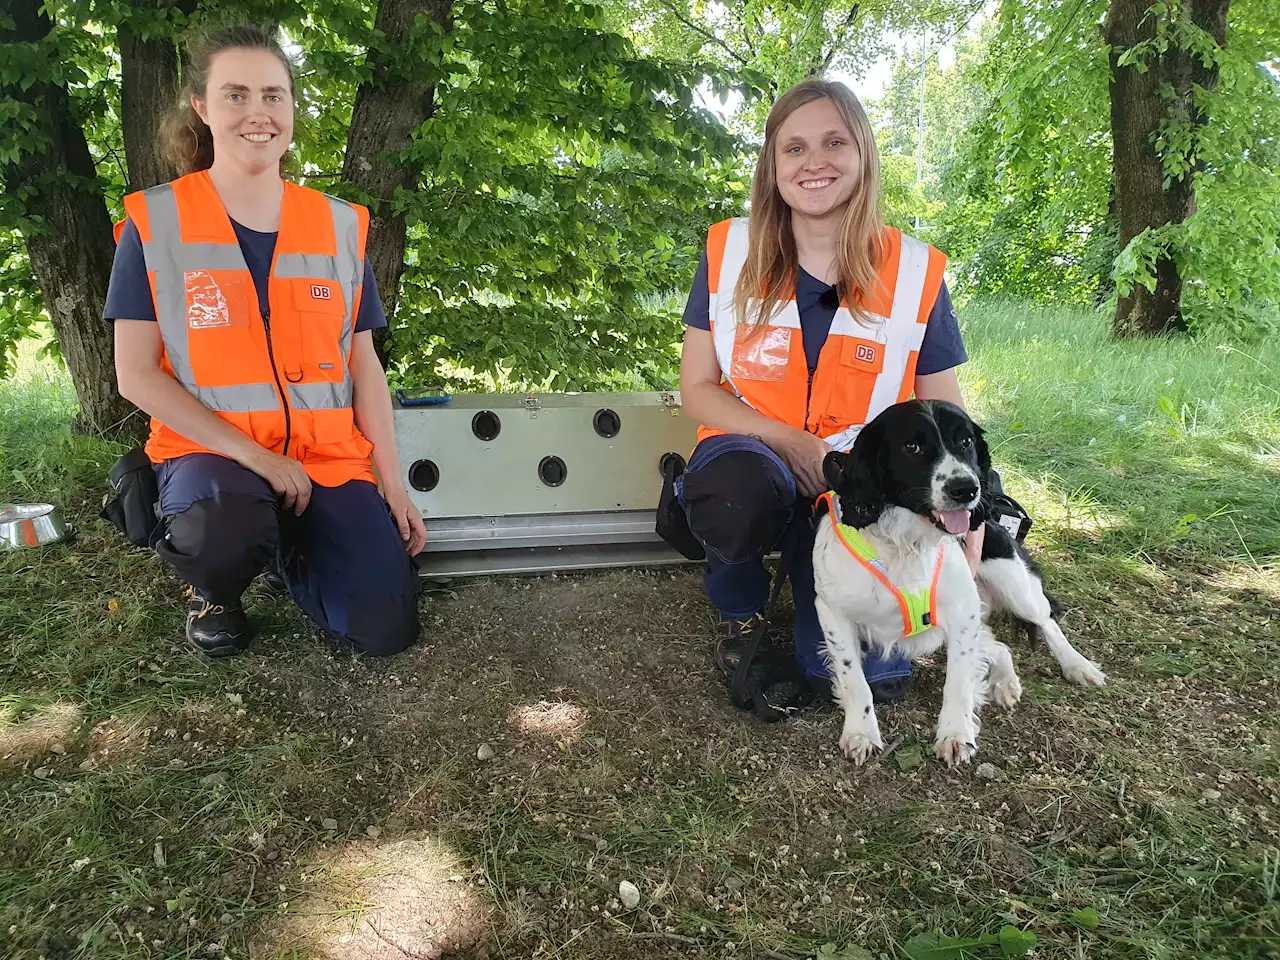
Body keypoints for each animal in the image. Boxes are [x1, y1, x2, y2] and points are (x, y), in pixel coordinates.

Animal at [814, 401, 1105, 773]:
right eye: (912, 447)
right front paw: (861, 732)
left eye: (965, 441)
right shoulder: (833, 612)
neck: (907, 544)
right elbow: (855, 679)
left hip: (1015, 587)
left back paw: (1077, 666)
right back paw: (1006, 683)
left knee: (1045, 620)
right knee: (1000, 646)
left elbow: (959, 681)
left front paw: (955, 734)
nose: (967, 489)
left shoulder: (961, 611)